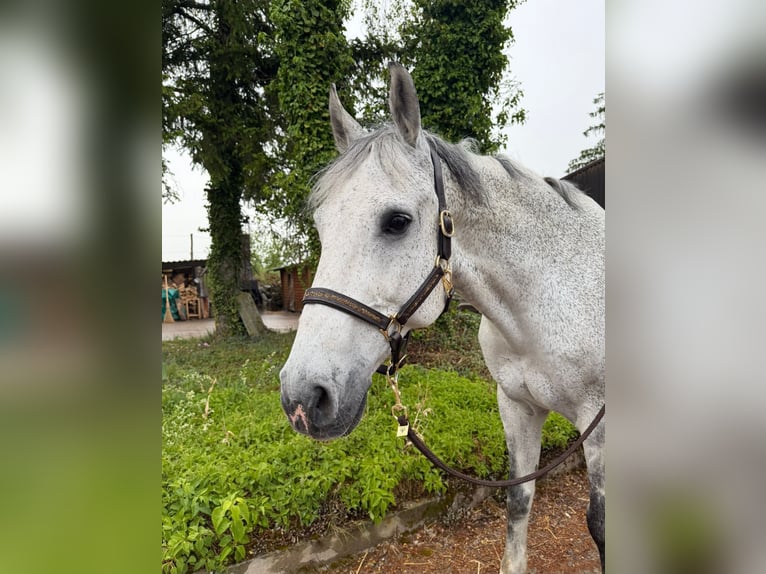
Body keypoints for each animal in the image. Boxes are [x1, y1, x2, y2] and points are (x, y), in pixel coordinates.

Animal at [279, 62, 605, 574]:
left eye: (397, 221)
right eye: (321, 226)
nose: (303, 400)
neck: (549, 299)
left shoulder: (601, 426)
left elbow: (600, 527)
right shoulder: (517, 406)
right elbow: (519, 502)